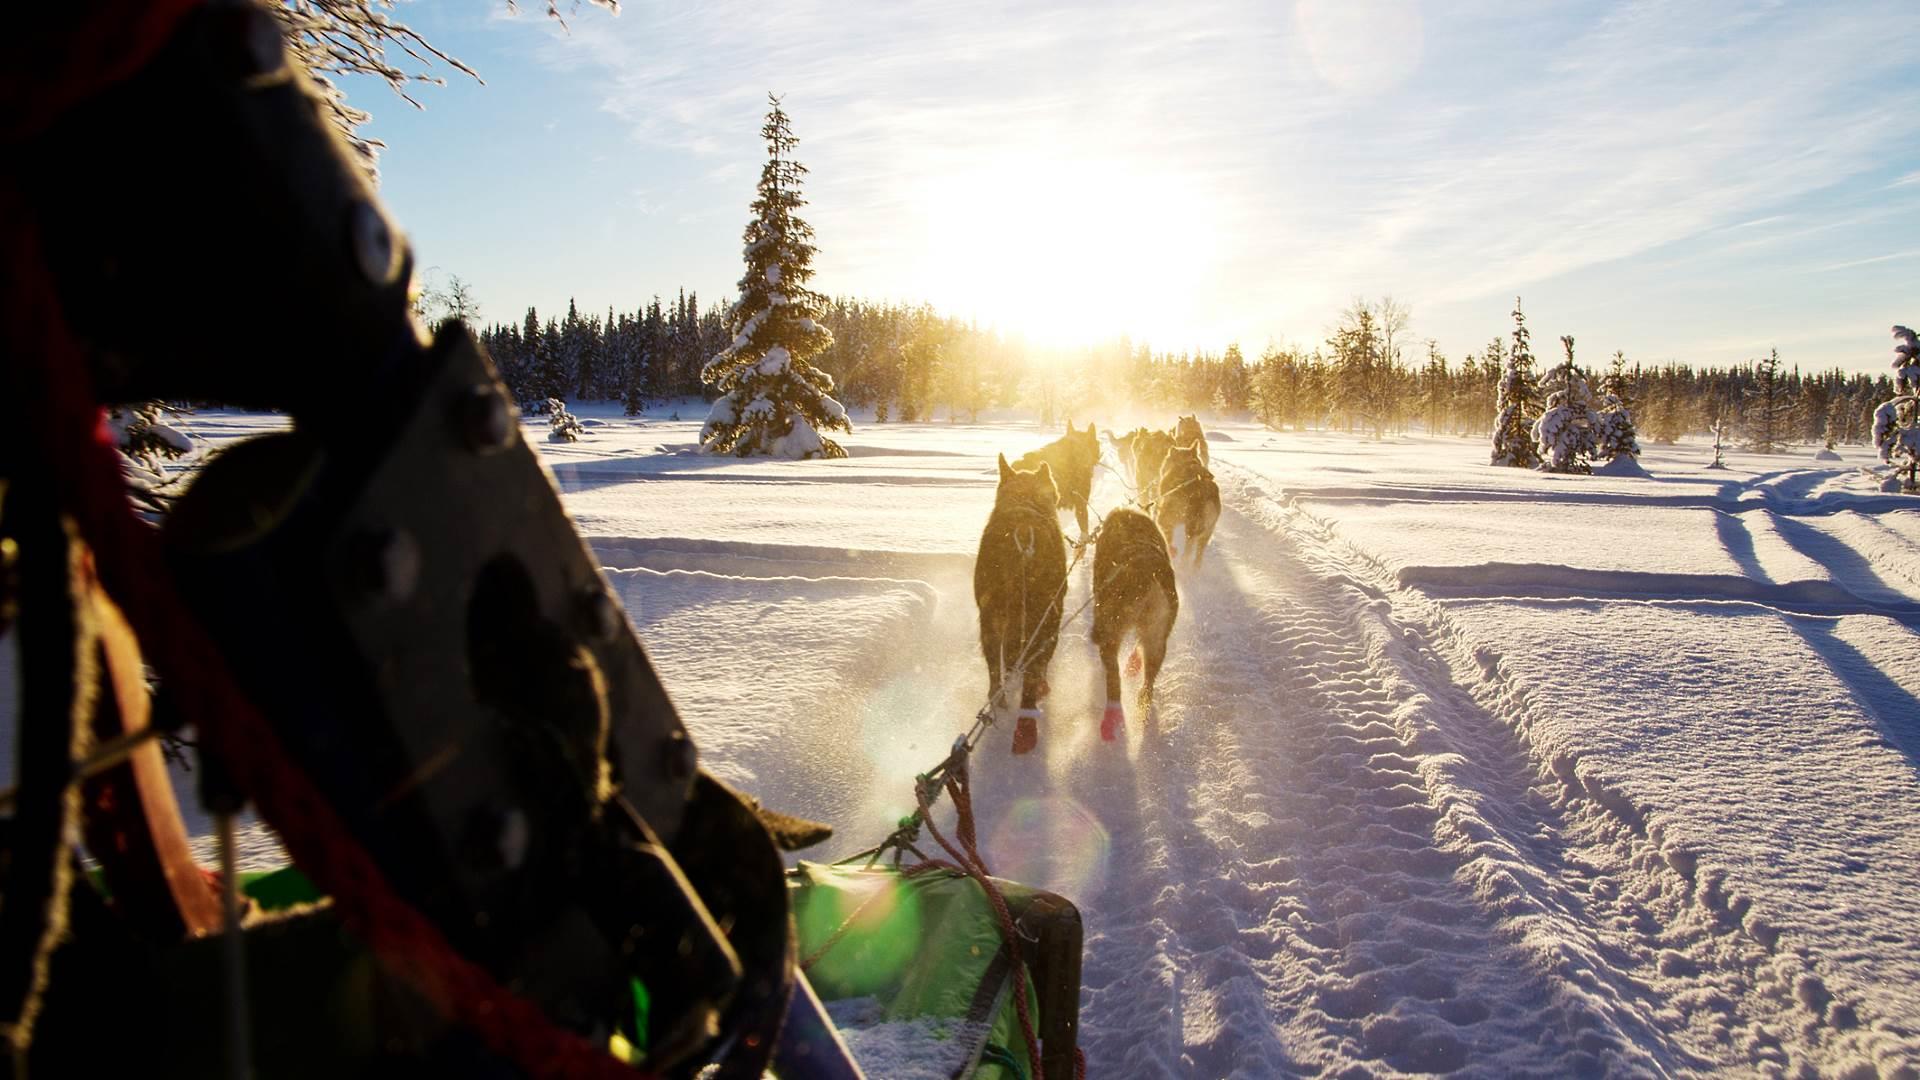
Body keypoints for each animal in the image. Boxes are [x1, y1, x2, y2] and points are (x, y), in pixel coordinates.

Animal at [975, 449, 1067, 753]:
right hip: (1047, 619)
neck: (1024, 500)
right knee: (1033, 672)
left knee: (995, 672)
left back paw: (999, 701)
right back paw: (1027, 723)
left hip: (990, 620)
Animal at [1090, 503, 1175, 737]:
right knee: (1147, 684)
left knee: (1114, 681)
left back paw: (1111, 718)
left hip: (1112, 636)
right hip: (1156, 639)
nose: (1094, 634)